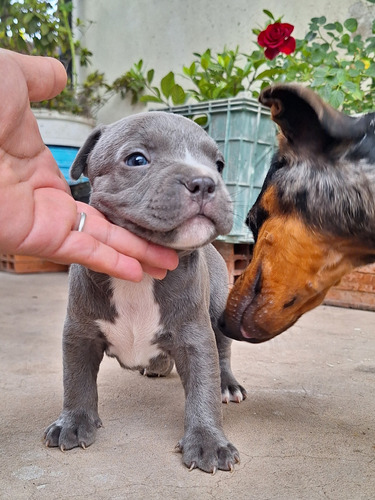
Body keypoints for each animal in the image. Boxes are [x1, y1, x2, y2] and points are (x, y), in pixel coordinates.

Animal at [44, 112, 247, 472]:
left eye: (219, 165)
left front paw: (208, 441)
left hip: (217, 309)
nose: (205, 181)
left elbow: (203, 389)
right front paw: (73, 422)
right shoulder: (79, 334)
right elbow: (76, 380)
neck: (141, 275)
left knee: (222, 352)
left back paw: (227, 384)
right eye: (136, 160)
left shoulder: (196, 337)